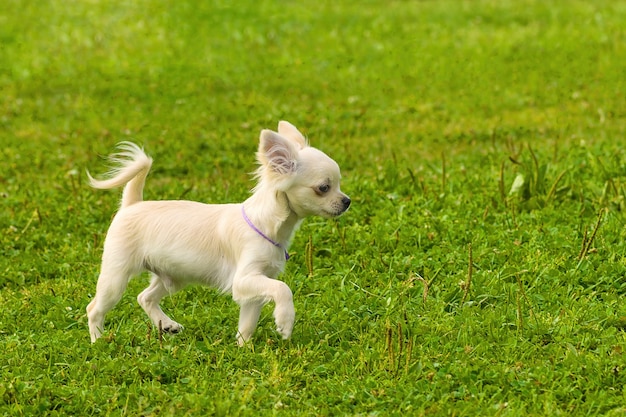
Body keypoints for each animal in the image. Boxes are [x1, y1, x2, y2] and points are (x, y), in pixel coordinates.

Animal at [86, 120, 352, 344]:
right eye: (324, 188)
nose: (347, 201)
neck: (267, 225)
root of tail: (132, 204)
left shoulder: (254, 286)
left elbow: (247, 323)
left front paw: (244, 349)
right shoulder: (244, 279)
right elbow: (283, 289)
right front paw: (285, 322)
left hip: (174, 275)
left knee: (145, 297)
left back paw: (167, 324)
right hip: (116, 277)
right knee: (94, 308)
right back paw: (98, 341)